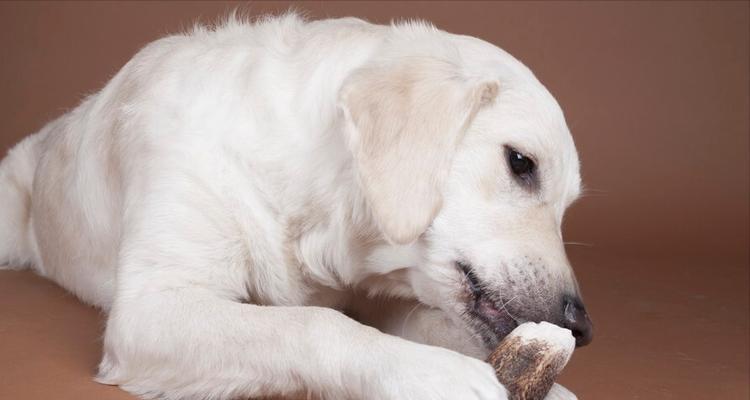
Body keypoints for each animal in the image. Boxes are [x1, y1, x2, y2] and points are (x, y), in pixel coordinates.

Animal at [2, 14, 596, 400]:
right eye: (520, 162)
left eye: (568, 203)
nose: (583, 327)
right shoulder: (151, 310)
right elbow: (313, 324)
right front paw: (441, 377)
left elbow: (438, 326)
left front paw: (550, 385)